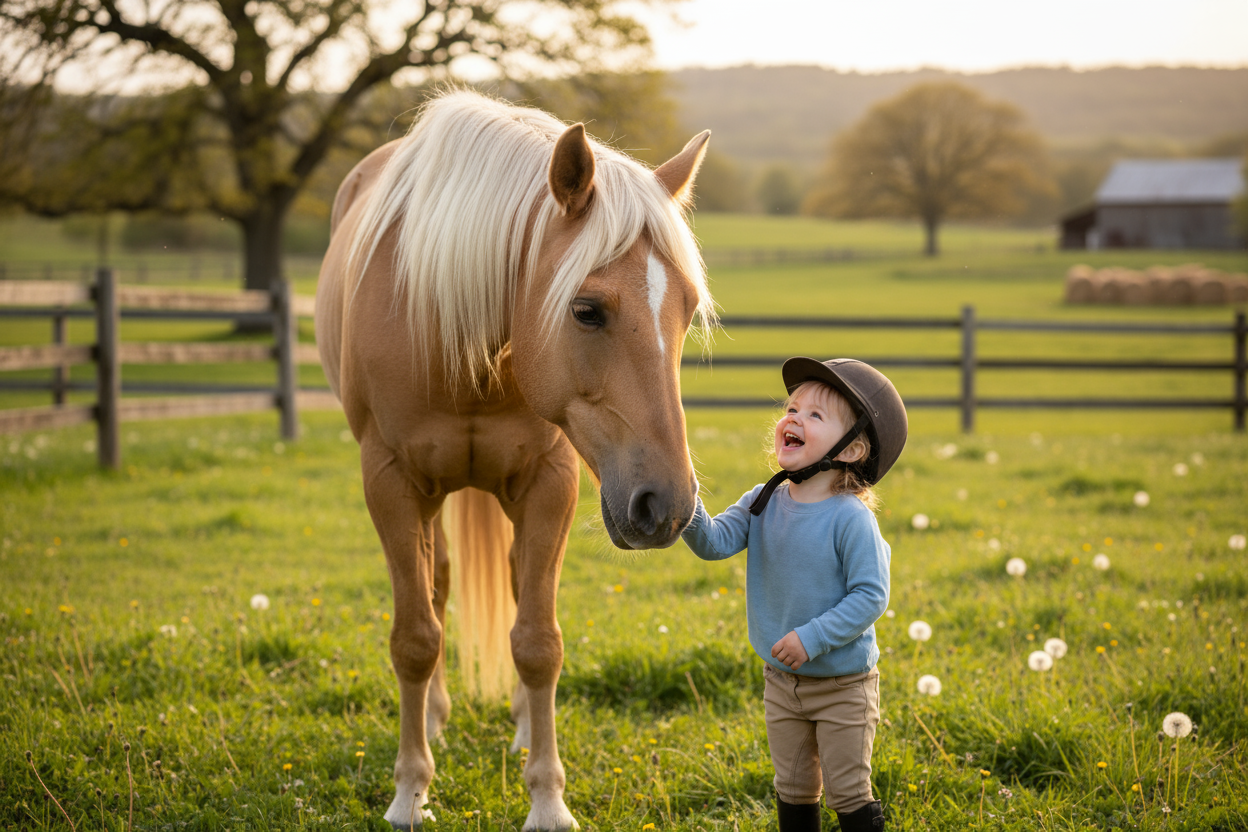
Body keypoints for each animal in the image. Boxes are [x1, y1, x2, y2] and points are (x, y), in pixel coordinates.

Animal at [315, 89, 714, 830]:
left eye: (687, 306)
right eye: (586, 310)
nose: (667, 506)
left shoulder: (549, 483)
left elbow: (538, 641)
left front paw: (548, 799)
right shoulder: (389, 481)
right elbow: (415, 638)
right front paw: (410, 792)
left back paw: (526, 724)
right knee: (438, 589)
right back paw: (434, 720)